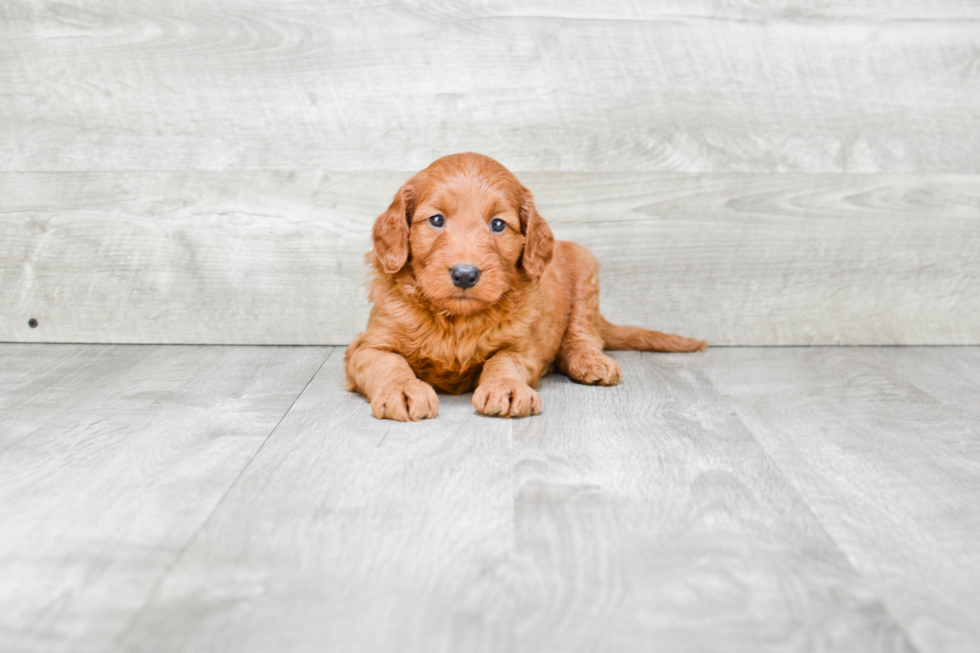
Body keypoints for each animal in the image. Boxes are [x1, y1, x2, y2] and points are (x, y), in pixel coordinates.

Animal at [344, 153, 704, 420]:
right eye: (436, 220)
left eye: (498, 224)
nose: (465, 274)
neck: (456, 321)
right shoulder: (368, 344)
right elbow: (387, 363)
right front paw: (403, 389)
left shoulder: (522, 347)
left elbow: (504, 361)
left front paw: (506, 387)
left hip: (586, 273)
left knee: (582, 336)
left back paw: (590, 361)